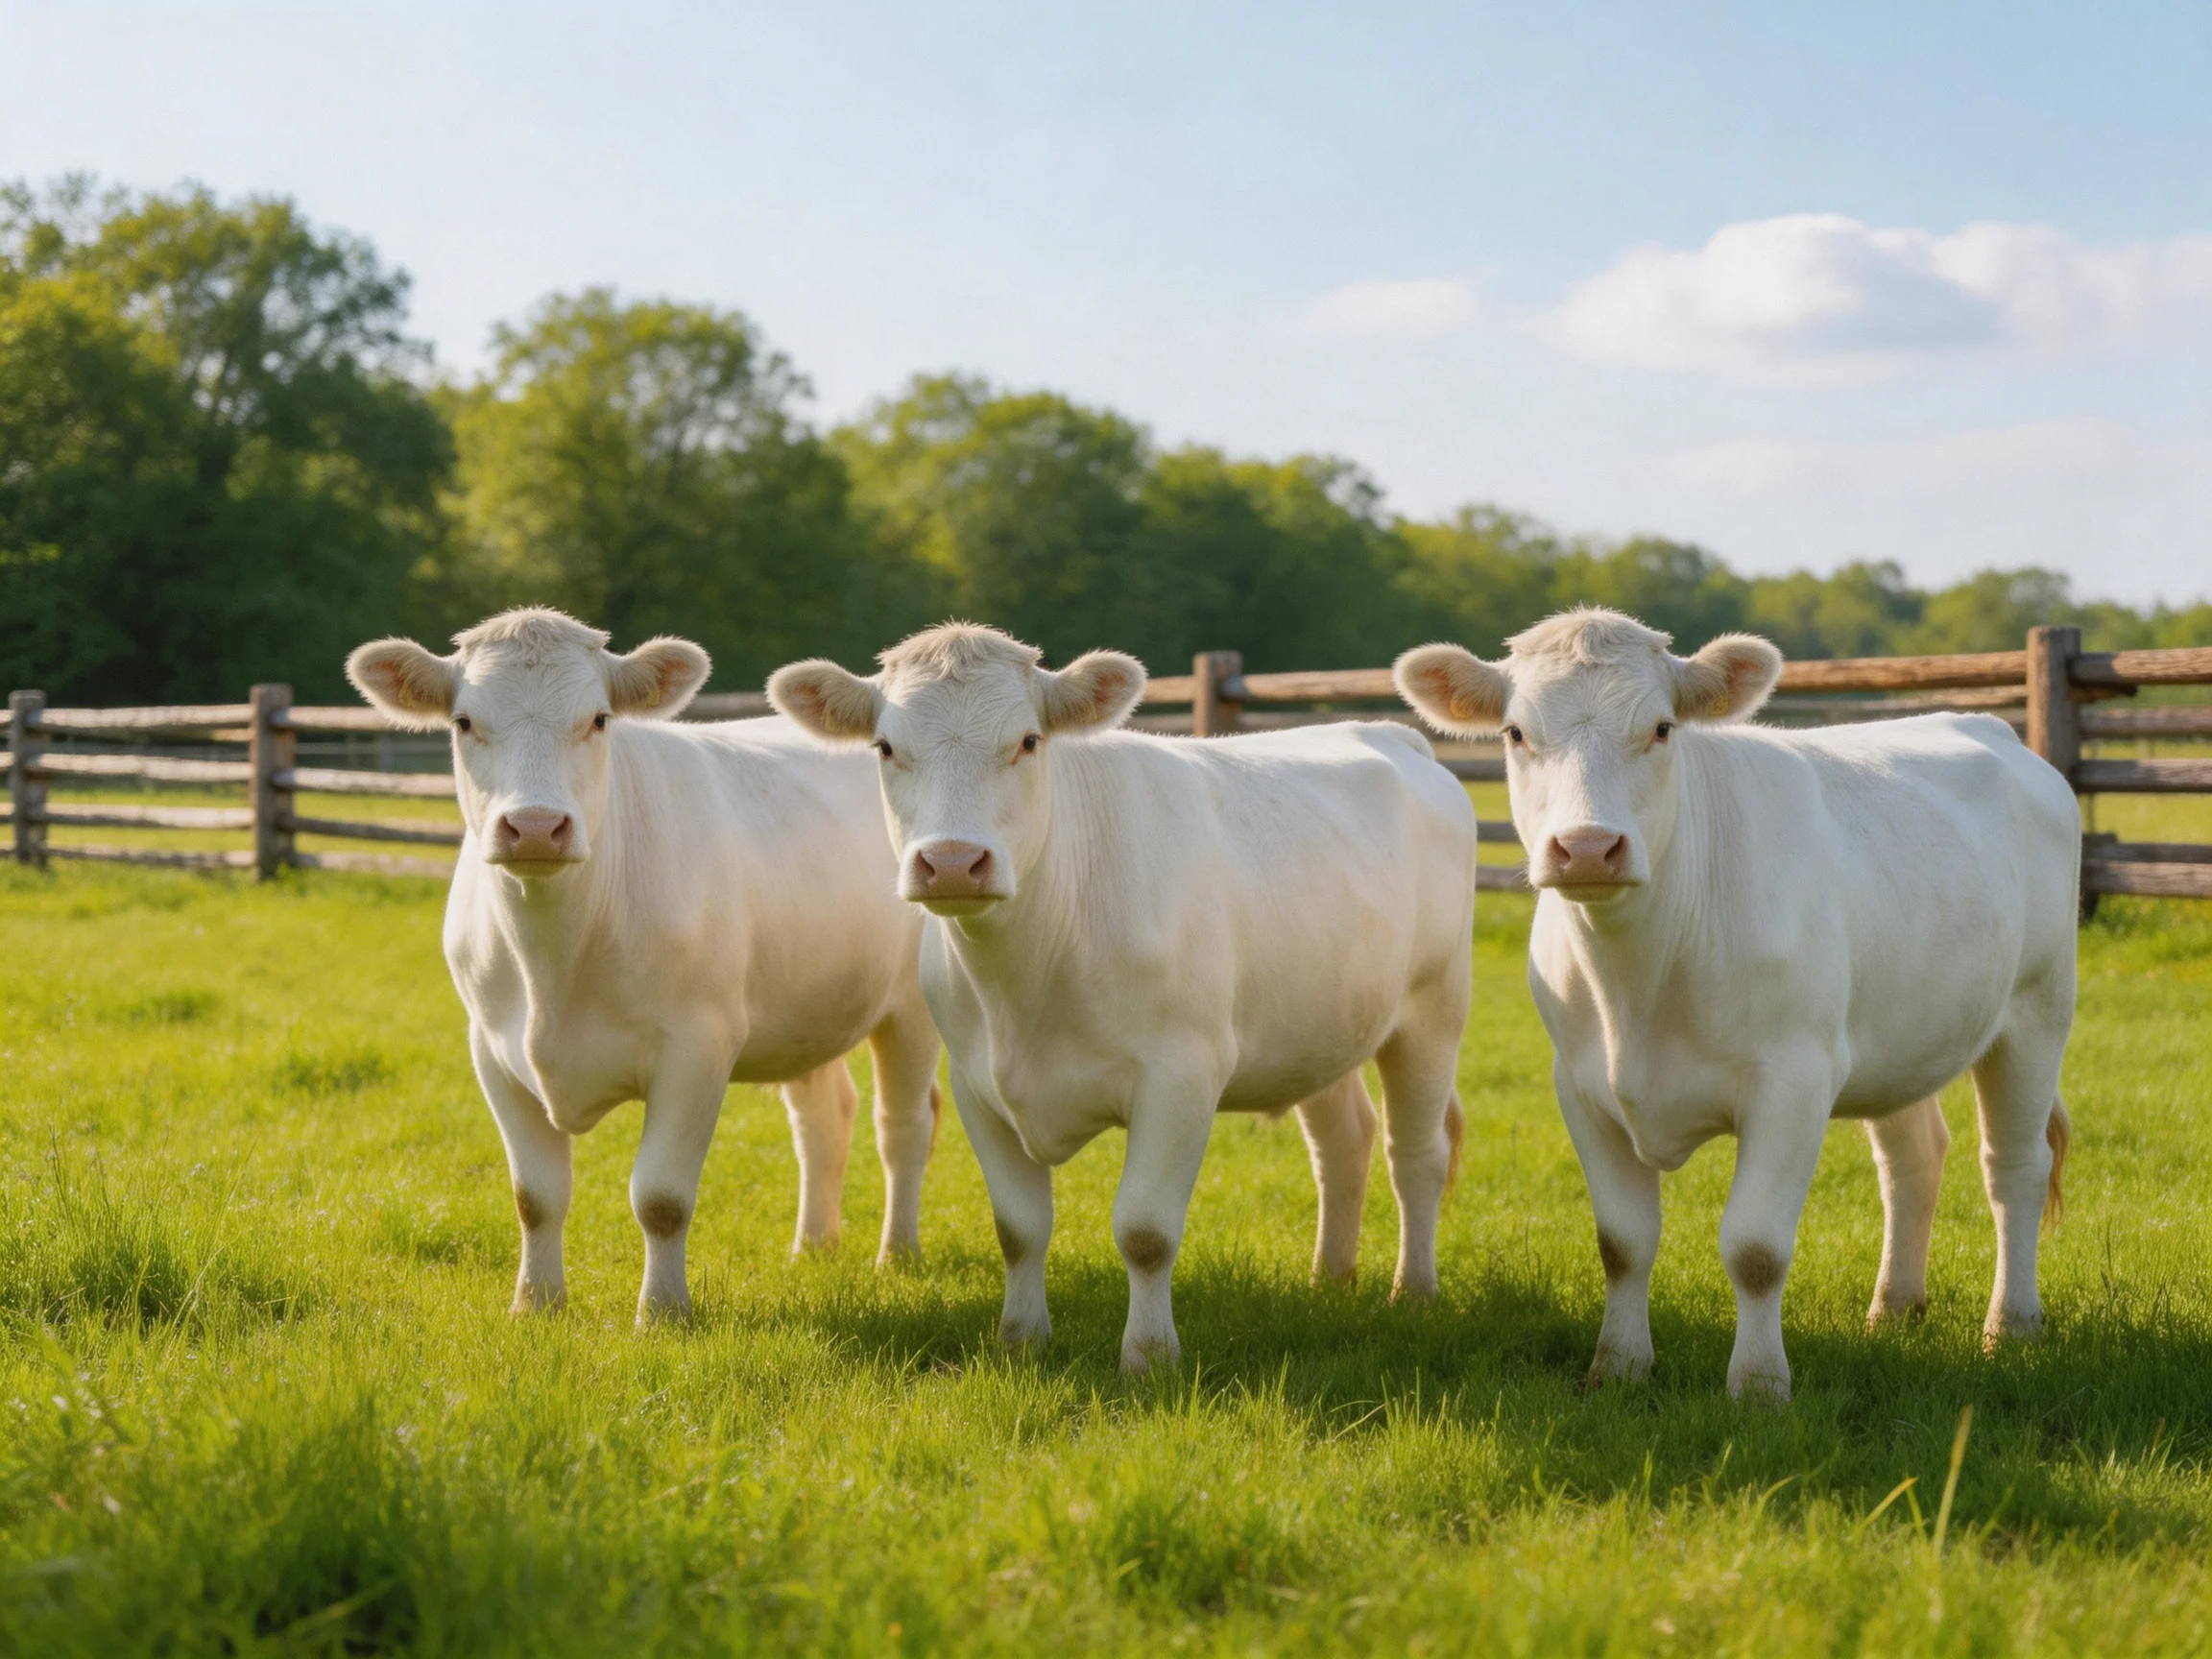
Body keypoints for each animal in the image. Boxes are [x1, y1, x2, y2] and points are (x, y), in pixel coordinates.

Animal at [346, 608, 942, 1325]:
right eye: (464, 721)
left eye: (599, 719)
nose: (536, 826)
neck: (555, 967)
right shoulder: (491, 1050)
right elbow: (534, 1195)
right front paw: (534, 1304)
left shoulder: (697, 1048)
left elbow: (660, 1198)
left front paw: (662, 1313)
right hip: (808, 1003)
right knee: (824, 1117)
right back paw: (813, 1247)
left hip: (910, 1007)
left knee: (903, 1125)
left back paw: (897, 1255)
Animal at [768, 623, 1478, 1372]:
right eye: (885, 746)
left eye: (1028, 741)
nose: (954, 862)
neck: (1029, 983)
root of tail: (1388, 733)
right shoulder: (975, 1085)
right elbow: (1018, 1227)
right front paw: (1020, 1339)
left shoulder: (1182, 1077)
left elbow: (1145, 1230)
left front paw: (1148, 1357)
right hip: (1319, 1023)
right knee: (1346, 1140)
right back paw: (1329, 1279)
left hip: (1433, 1012)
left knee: (1417, 1153)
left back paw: (1414, 1291)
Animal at [1396, 608, 2076, 1397]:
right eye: (1514, 732)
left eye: (1662, 728)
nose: (1589, 848)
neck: (1639, 988)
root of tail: (1992, 731)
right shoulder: (1581, 1086)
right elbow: (1622, 1242)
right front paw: (1618, 1366)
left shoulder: (1794, 1082)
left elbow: (1755, 1248)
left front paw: (1758, 1384)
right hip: (1899, 1034)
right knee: (1914, 1160)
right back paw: (1894, 1308)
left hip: (2036, 1012)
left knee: (2014, 1168)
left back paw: (2012, 1325)